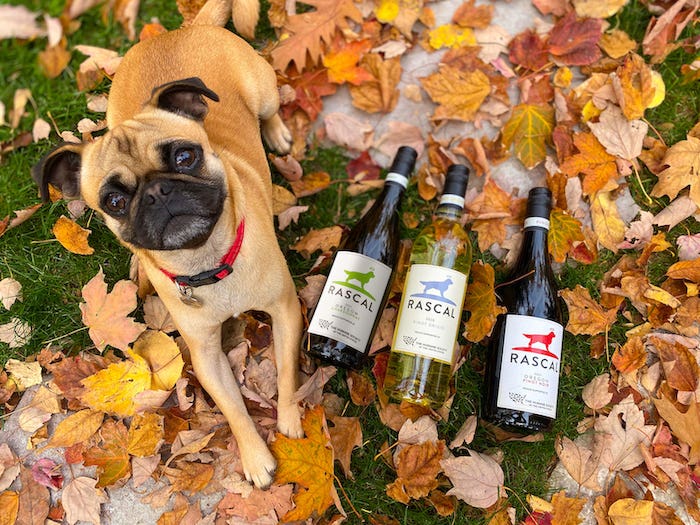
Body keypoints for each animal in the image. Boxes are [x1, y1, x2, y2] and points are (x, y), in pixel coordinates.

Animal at [31, 0, 302, 488]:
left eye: (184, 156)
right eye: (115, 201)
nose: (158, 192)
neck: (205, 260)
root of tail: (184, 29)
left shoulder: (286, 310)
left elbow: (287, 371)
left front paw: (289, 420)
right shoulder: (207, 355)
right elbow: (233, 408)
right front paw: (254, 456)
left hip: (265, 90)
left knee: (270, 110)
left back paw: (275, 133)